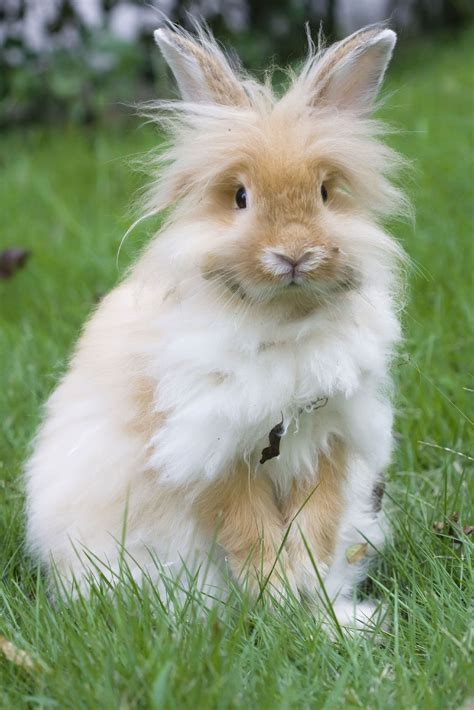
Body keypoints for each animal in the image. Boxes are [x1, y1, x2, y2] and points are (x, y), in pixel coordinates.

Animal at [25, 21, 408, 632]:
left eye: (326, 193)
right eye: (240, 197)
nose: (294, 254)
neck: (282, 320)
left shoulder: (333, 434)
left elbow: (316, 516)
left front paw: (302, 579)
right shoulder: (207, 446)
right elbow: (245, 523)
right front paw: (276, 589)